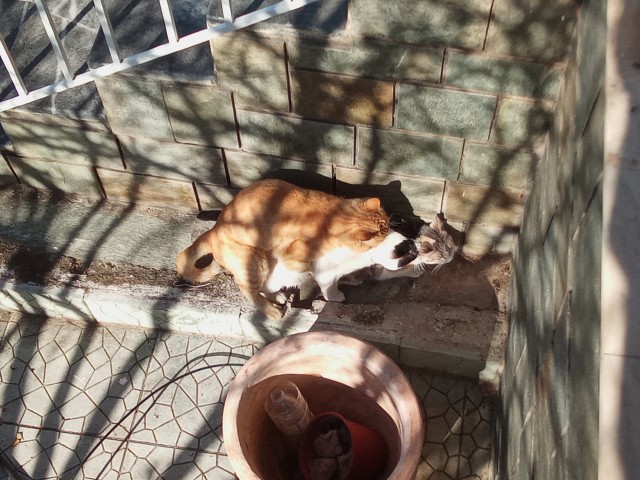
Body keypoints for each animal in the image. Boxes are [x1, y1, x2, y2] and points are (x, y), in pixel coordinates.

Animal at [176, 179, 413, 320]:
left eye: (388, 224)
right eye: (383, 229)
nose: (390, 227)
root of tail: (213, 229)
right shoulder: (295, 255)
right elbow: (325, 282)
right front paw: (336, 293)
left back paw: (279, 296)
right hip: (256, 259)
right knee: (247, 288)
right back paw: (272, 310)